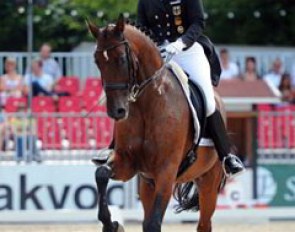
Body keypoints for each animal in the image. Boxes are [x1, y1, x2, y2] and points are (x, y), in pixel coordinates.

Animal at [86, 14, 225, 232]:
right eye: (97, 61)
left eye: (122, 59)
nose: (117, 111)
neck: (147, 104)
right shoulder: (128, 162)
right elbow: (101, 173)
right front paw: (111, 224)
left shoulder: (166, 172)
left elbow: (154, 223)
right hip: (147, 184)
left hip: (209, 181)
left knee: (204, 224)